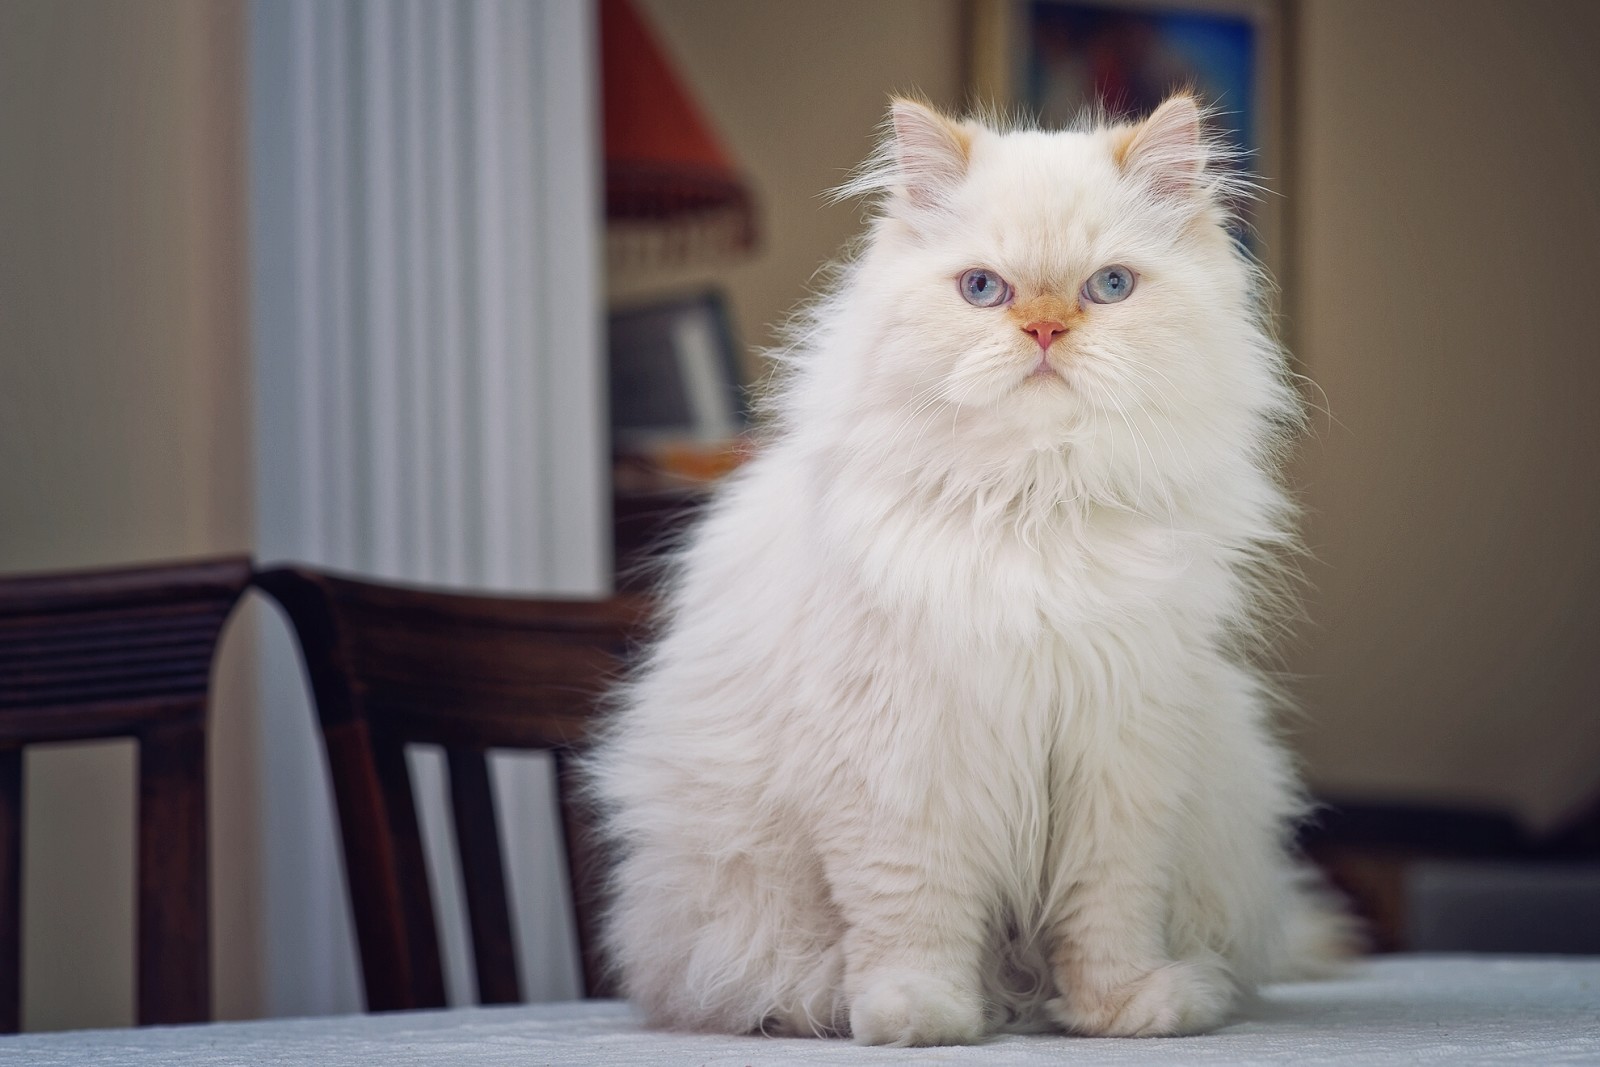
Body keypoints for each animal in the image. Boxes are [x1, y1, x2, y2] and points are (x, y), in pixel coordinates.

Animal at [588, 95, 1350, 1049]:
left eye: (1109, 287)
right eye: (984, 289)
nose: (1046, 329)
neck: (1035, 503)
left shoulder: (1121, 754)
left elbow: (1109, 913)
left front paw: (1125, 1010)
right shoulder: (900, 761)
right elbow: (912, 916)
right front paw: (920, 1018)